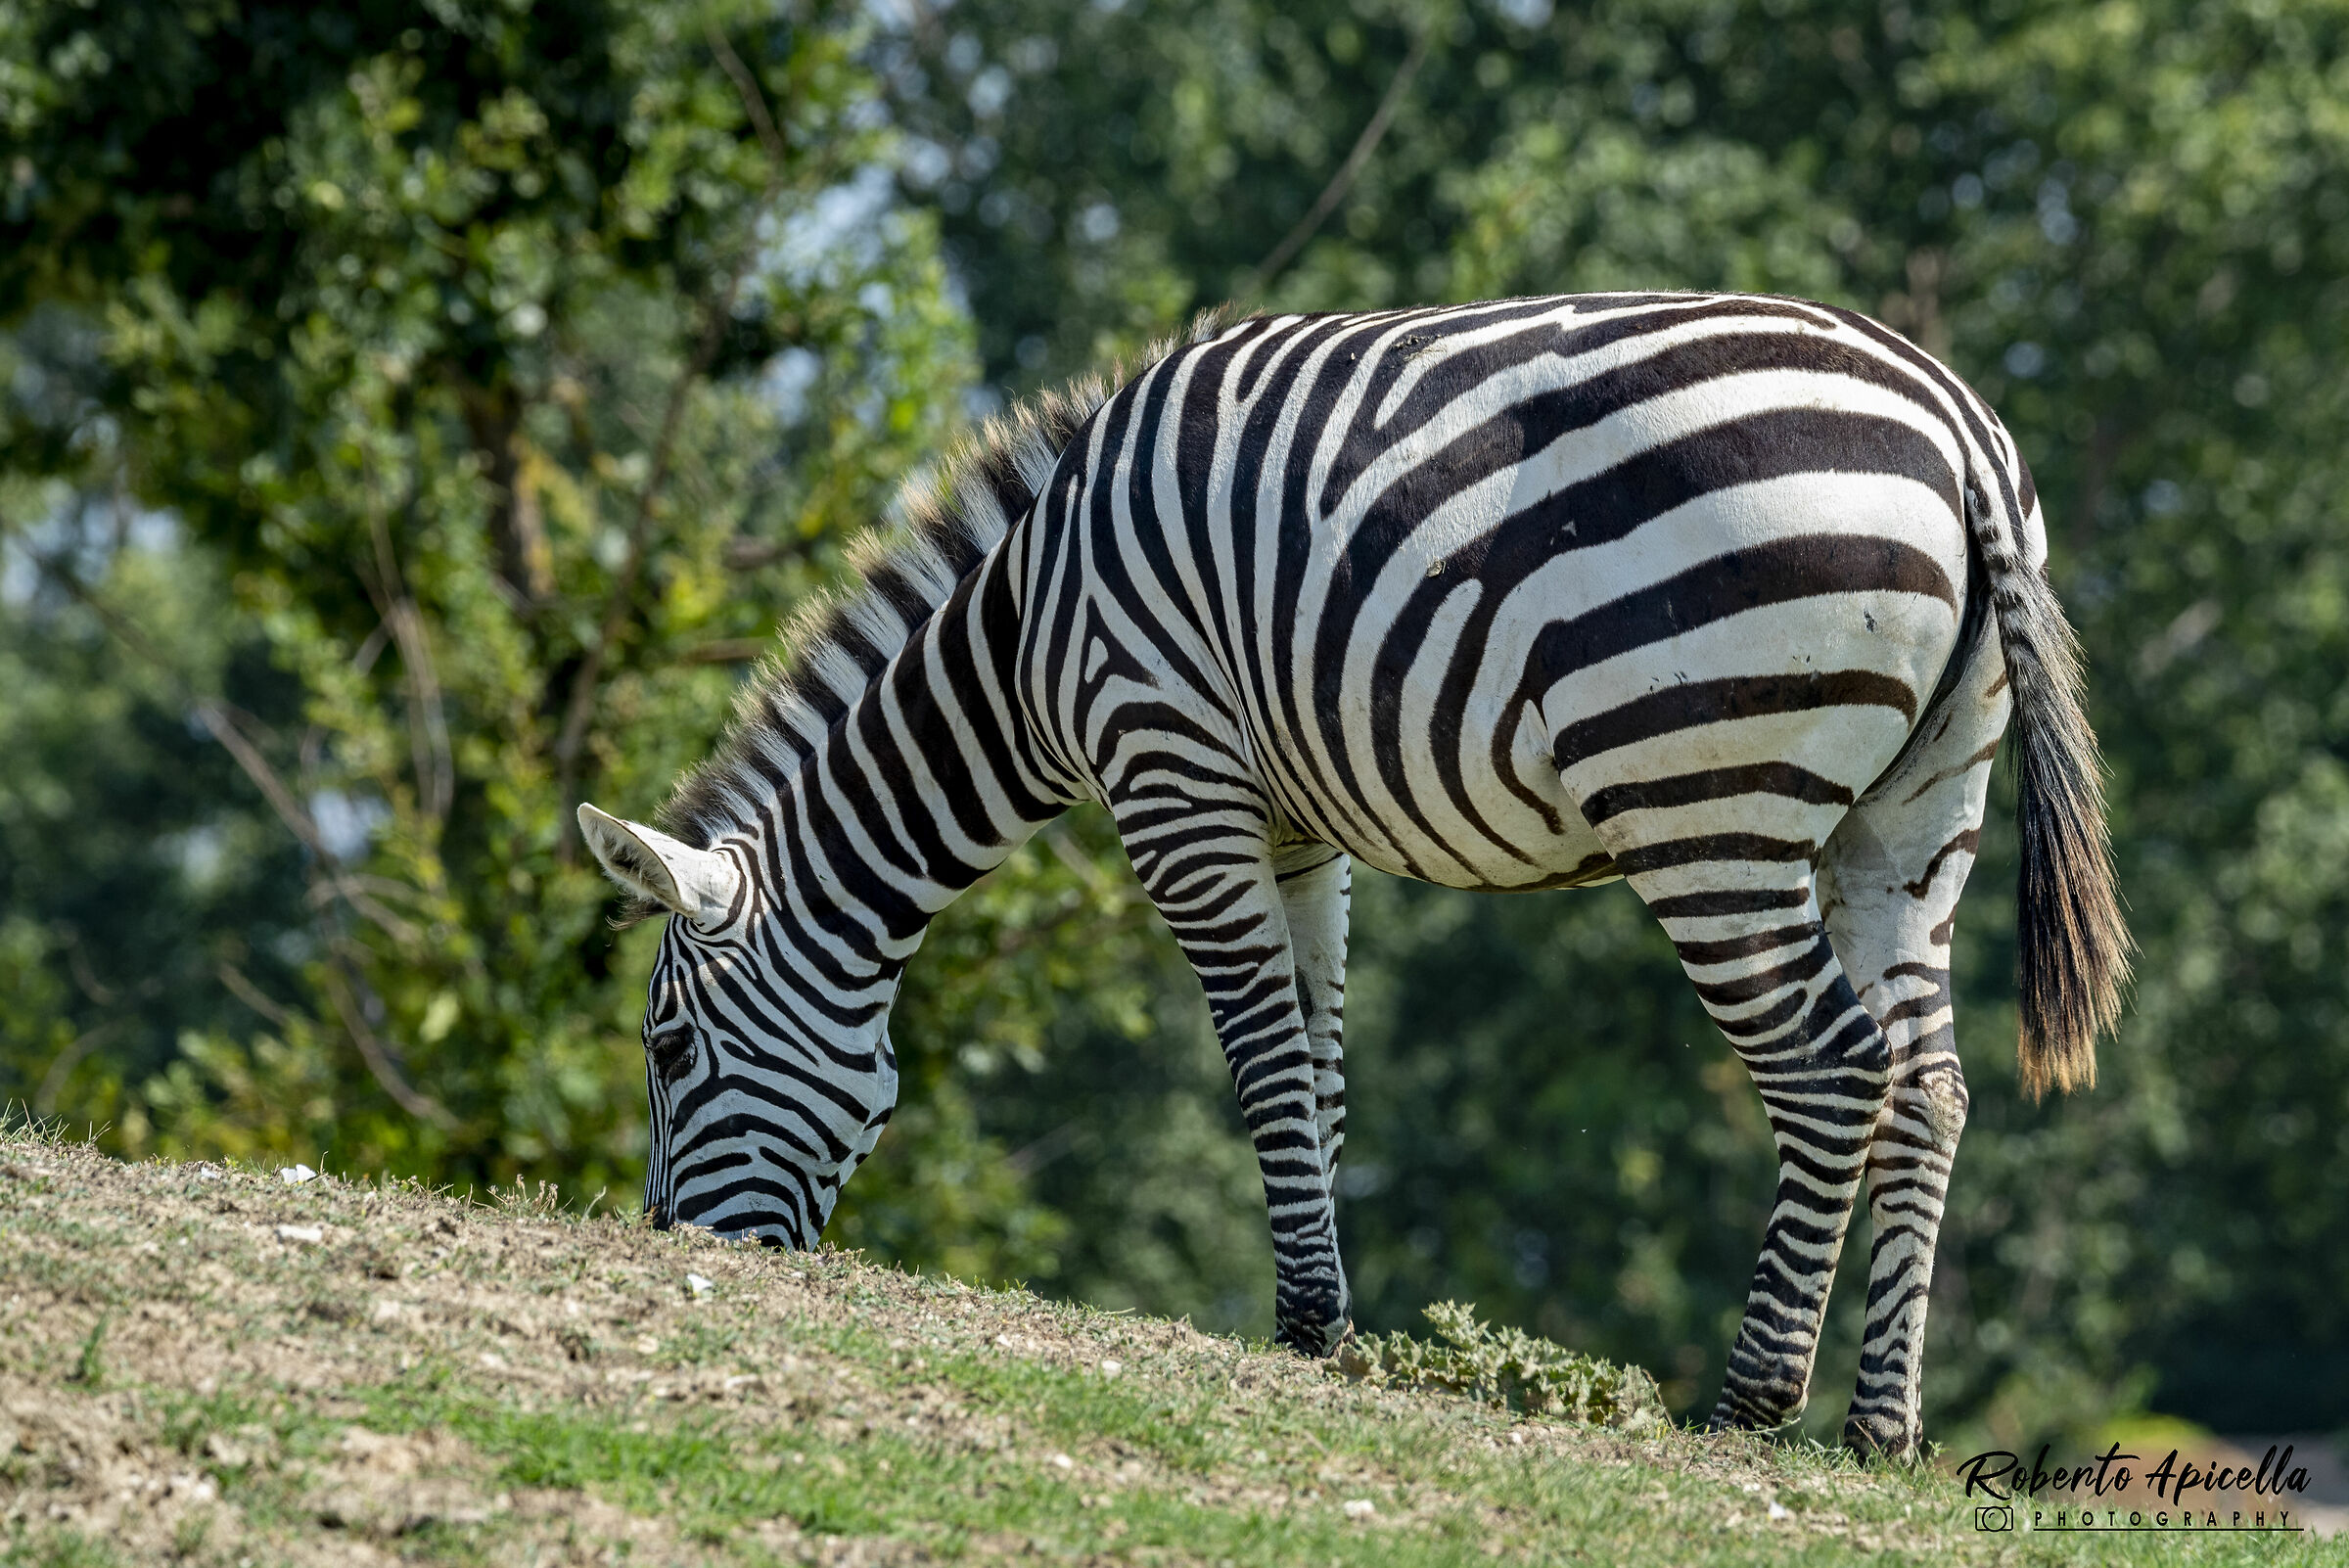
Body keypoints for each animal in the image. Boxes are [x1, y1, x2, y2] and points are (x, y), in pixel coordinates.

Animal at [579, 293, 2128, 1456]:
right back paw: (1879, 1427)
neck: (1029, 631)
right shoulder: (1295, 821)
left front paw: (1306, 1323)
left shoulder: (1171, 768)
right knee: (1931, 1083)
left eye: (665, 1048)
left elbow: (1261, 1054)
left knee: (1831, 1065)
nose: (667, 1247)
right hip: (1917, 811)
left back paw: (1750, 1404)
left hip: (1703, 796)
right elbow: (1318, 1062)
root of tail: (1959, 431)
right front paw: (1325, 1323)